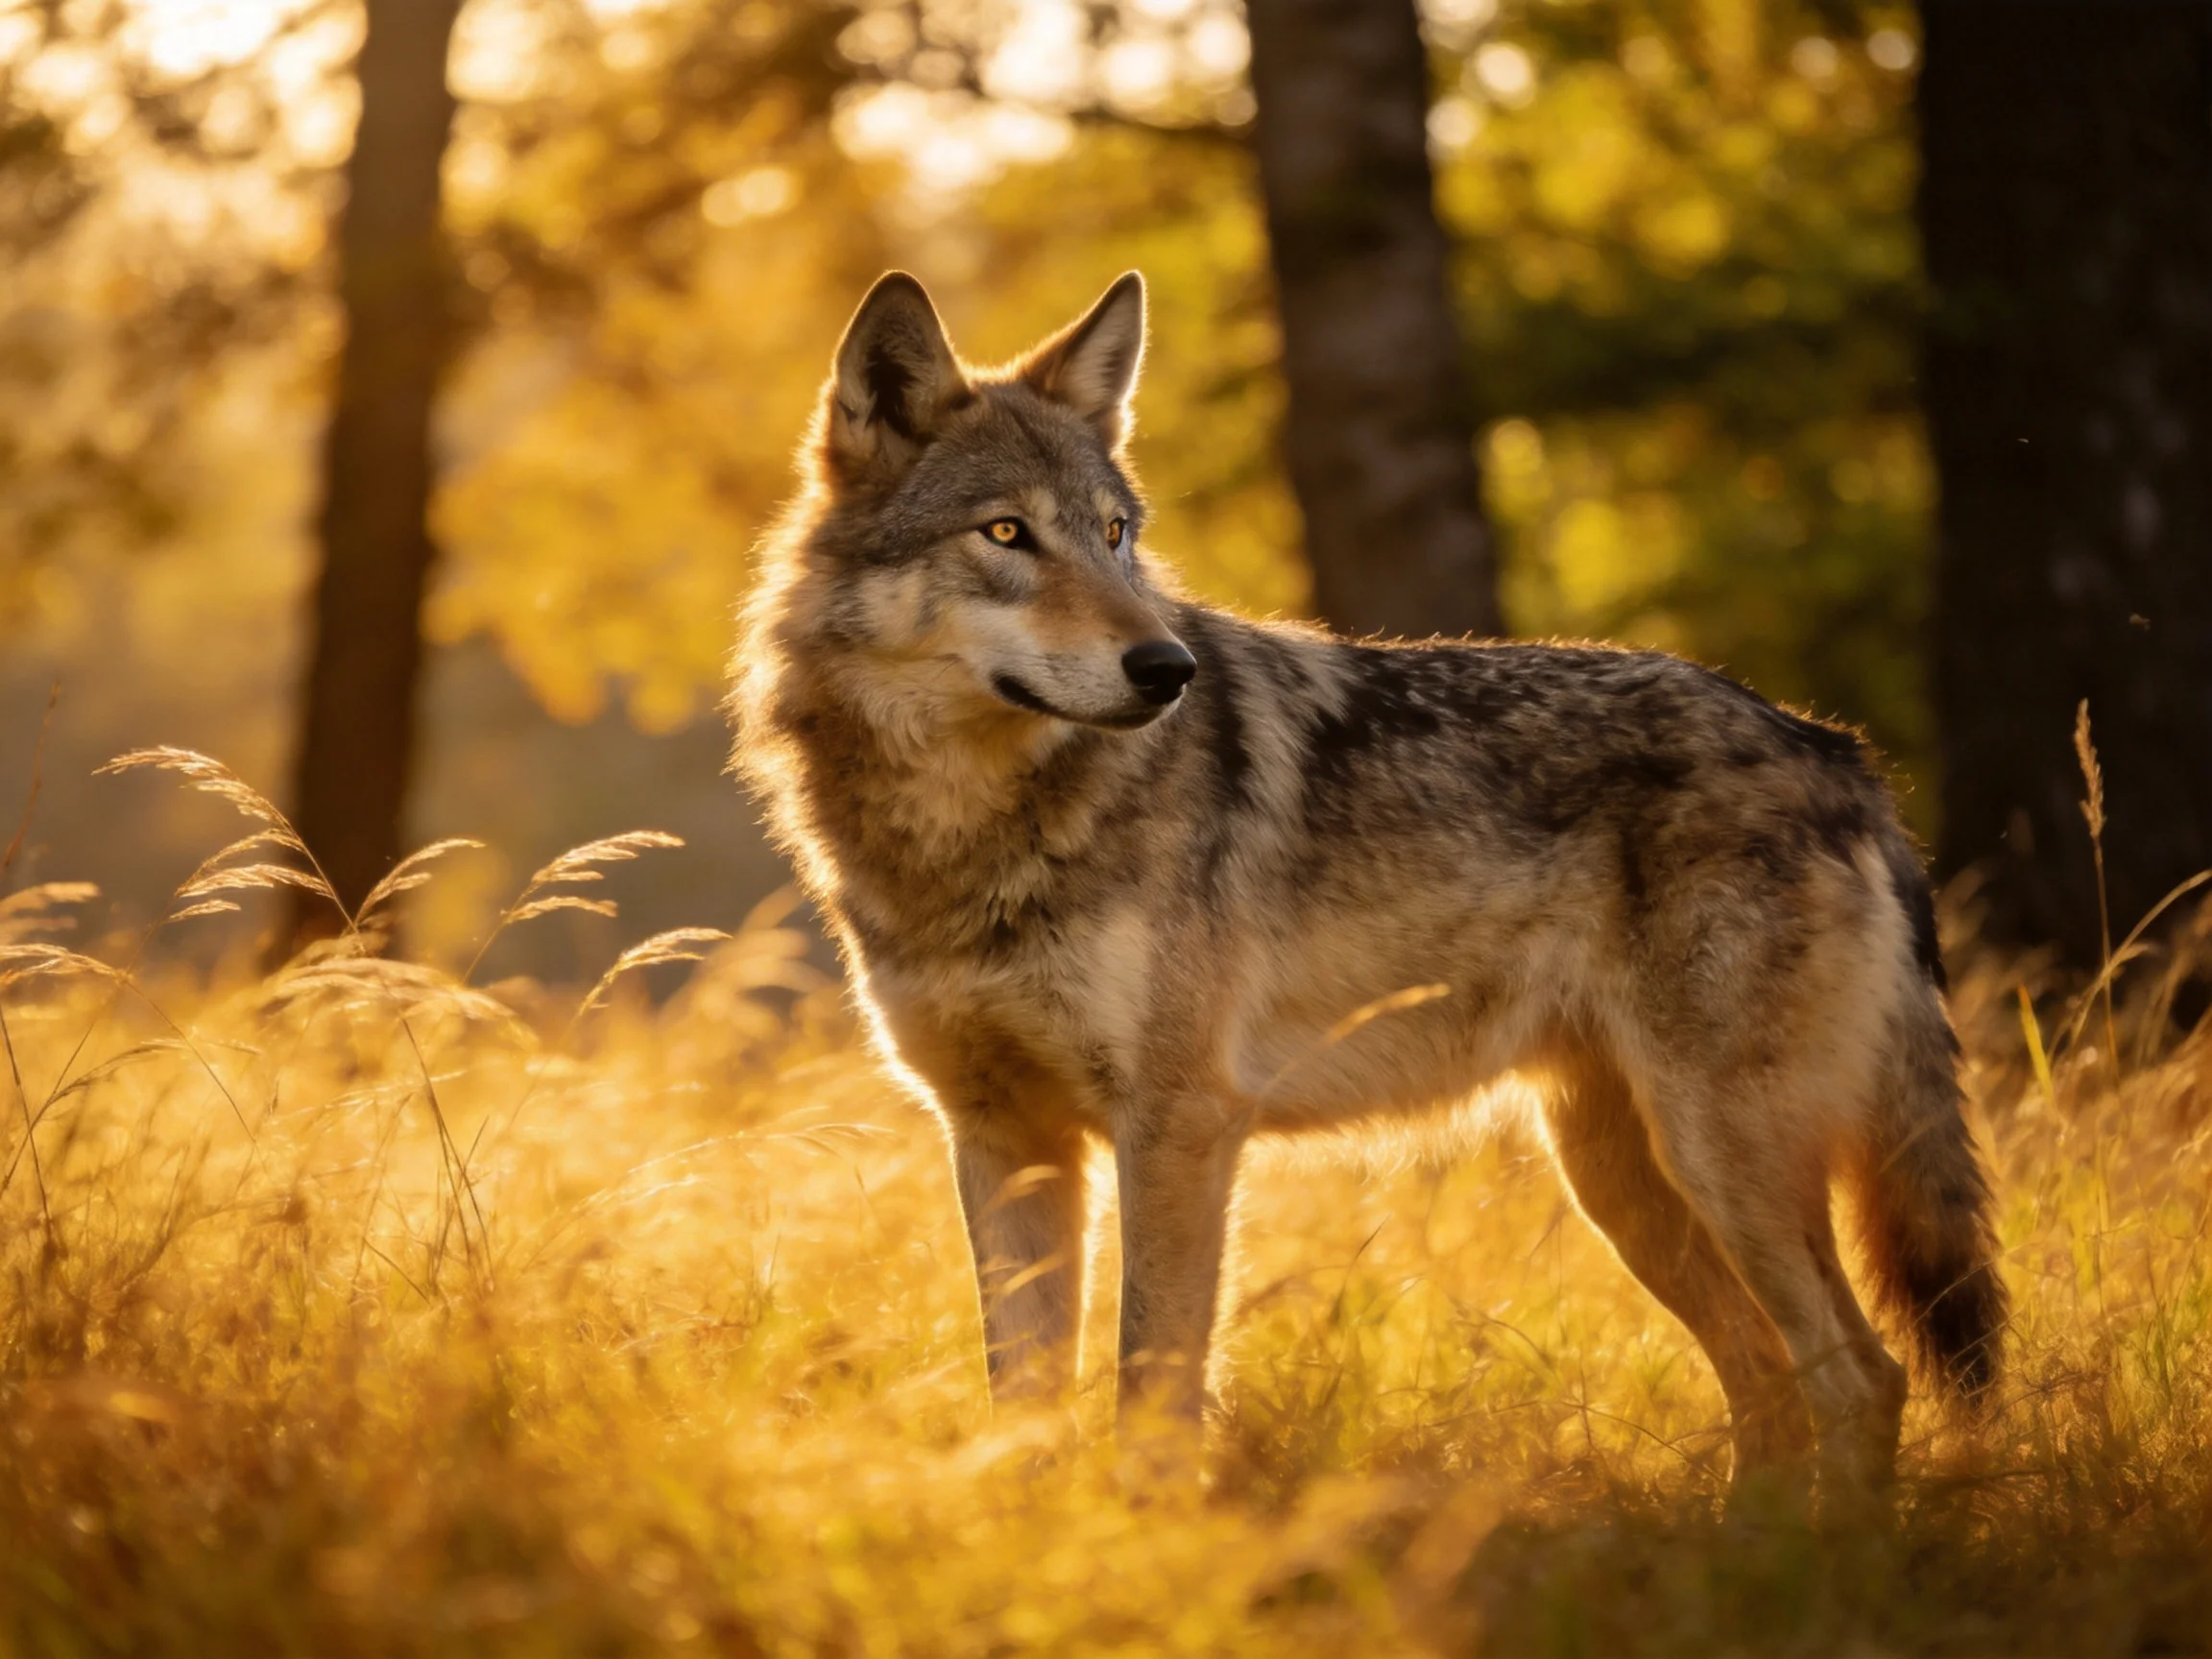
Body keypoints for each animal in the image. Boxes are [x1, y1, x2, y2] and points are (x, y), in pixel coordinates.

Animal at [730, 270, 2007, 1491]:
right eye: (1005, 533)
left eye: (1115, 533)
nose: (1167, 667)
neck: (968, 833)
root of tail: (1834, 747)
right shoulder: (1001, 1138)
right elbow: (1026, 1410)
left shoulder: (1181, 1126)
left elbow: (1153, 1388)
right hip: (1621, 1181)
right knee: (1772, 1385)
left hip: (1719, 1157)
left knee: (1865, 1377)